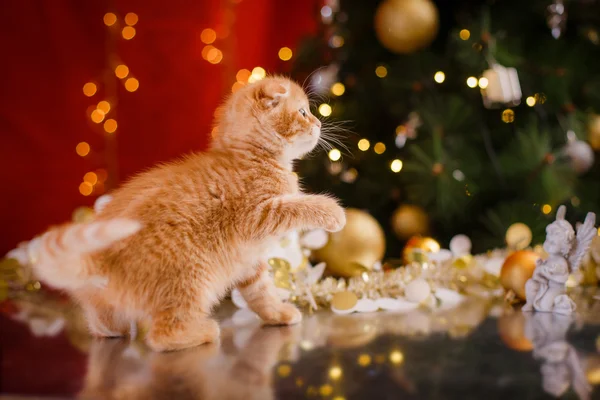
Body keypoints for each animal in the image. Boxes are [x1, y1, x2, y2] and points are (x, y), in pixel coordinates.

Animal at [9, 76, 344, 350]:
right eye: (303, 112)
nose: (318, 124)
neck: (250, 156)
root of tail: (101, 257)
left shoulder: (248, 258)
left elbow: (260, 291)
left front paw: (276, 312)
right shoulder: (256, 214)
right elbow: (299, 203)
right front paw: (334, 213)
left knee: (106, 326)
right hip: (191, 278)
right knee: (164, 336)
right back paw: (203, 331)